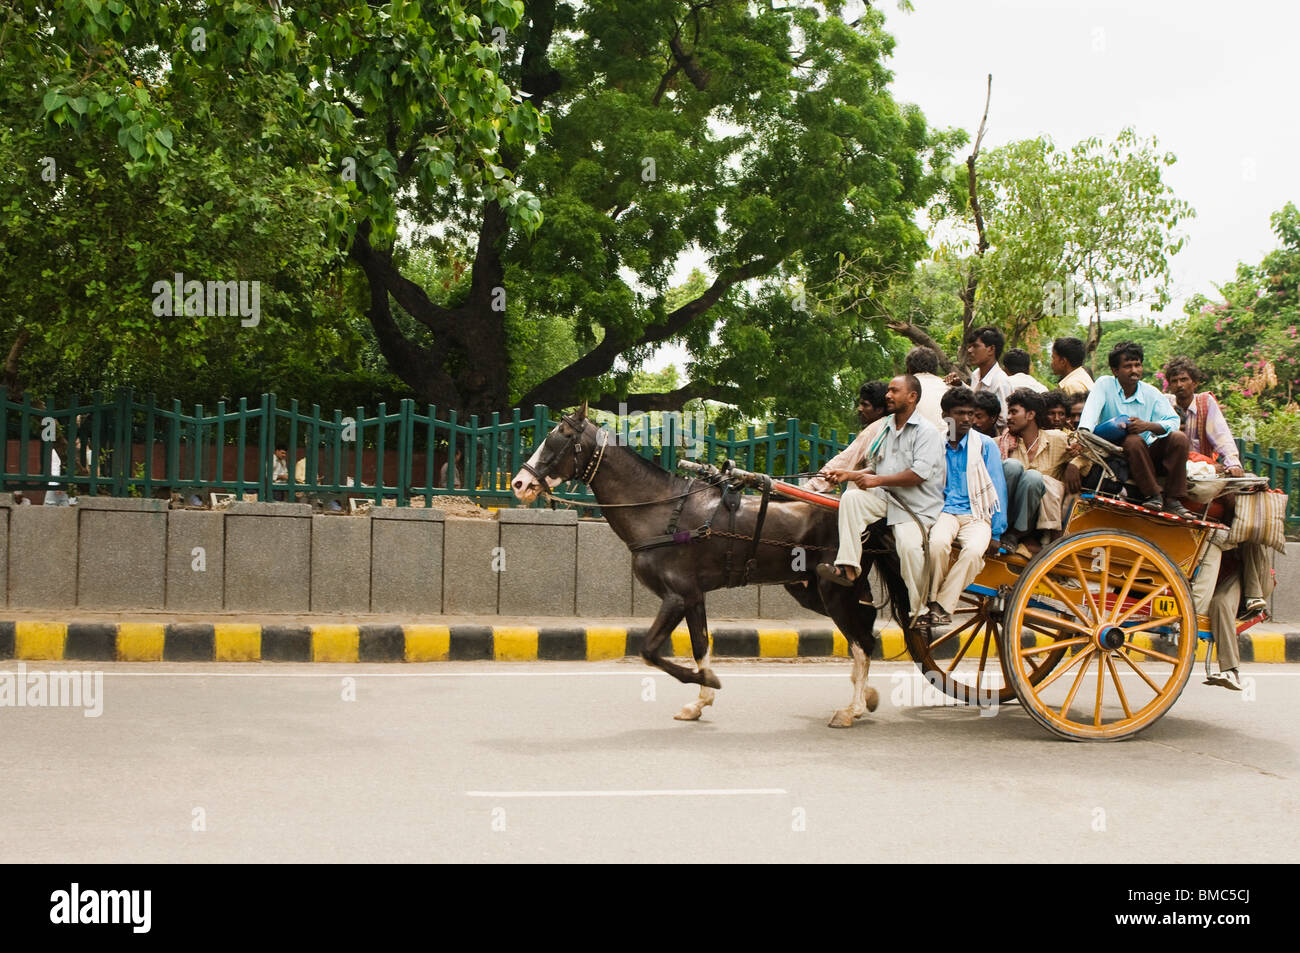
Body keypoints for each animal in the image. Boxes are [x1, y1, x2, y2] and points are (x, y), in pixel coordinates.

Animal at [511, 403, 903, 727]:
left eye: (559, 439)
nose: (519, 482)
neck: (660, 510)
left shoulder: (677, 595)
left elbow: (649, 650)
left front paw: (707, 682)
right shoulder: (694, 596)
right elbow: (700, 645)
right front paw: (699, 702)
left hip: (835, 590)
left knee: (861, 642)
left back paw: (852, 709)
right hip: (814, 591)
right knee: (866, 630)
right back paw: (866, 696)